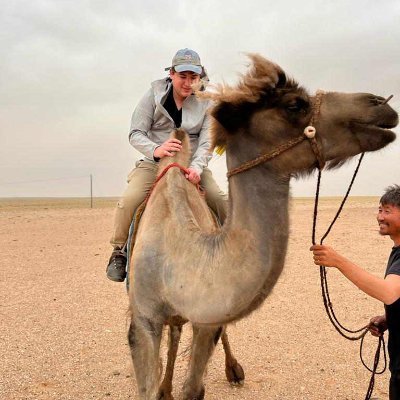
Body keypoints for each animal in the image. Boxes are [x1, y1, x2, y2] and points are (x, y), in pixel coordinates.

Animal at [127, 54, 396, 400]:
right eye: (294, 104)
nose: (381, 105)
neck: (176, 254)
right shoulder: (143, 320)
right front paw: (159, 388)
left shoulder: (206, 318)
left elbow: (195, 385)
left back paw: (229, 371)